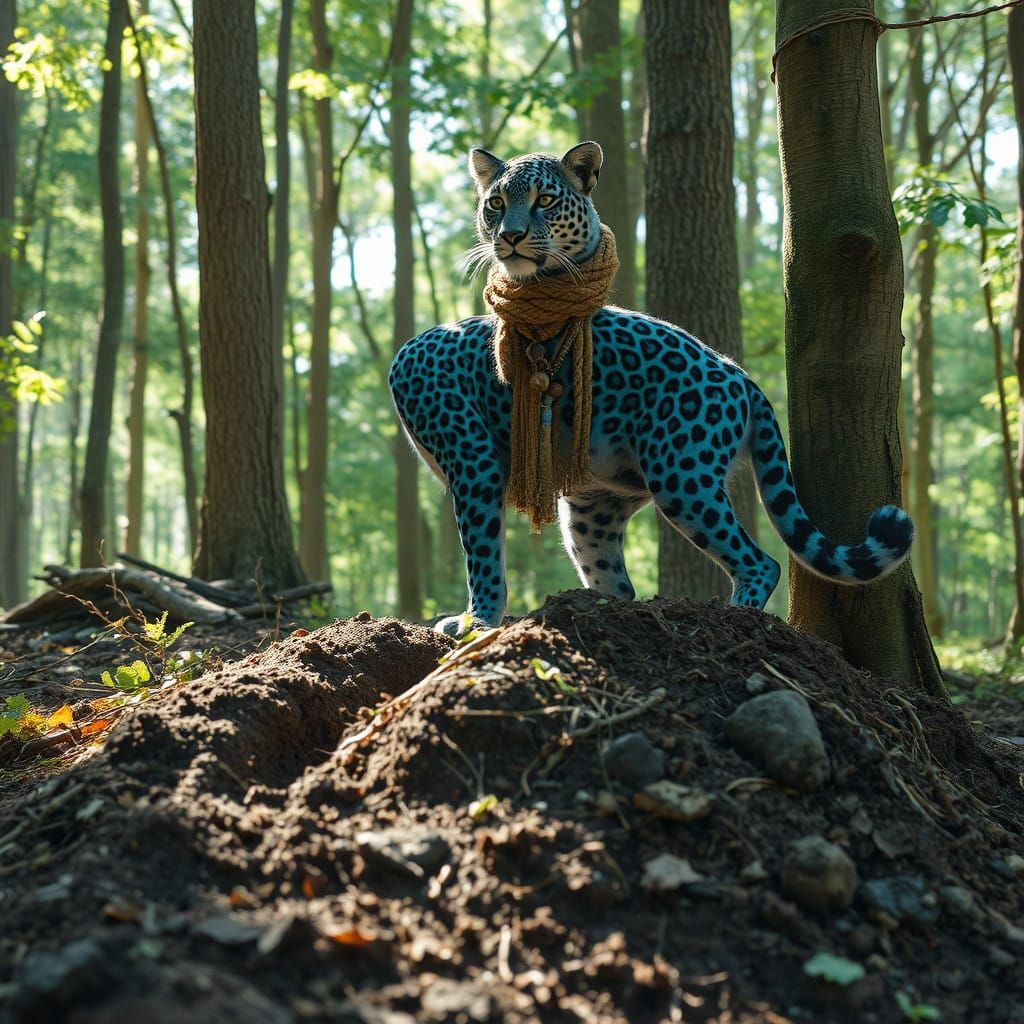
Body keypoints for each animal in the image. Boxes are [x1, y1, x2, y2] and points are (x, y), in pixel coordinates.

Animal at [388, 141, 914, 636]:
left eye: (545, 200)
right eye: (495, 203)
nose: (509, 236)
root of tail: (740, 374)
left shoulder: (474, 464)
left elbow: (482, 553)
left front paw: (476, 622)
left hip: (682, 473)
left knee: (759, 561)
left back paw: (735, 615)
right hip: (594, 505)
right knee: (619, 584)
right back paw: (594, 613)